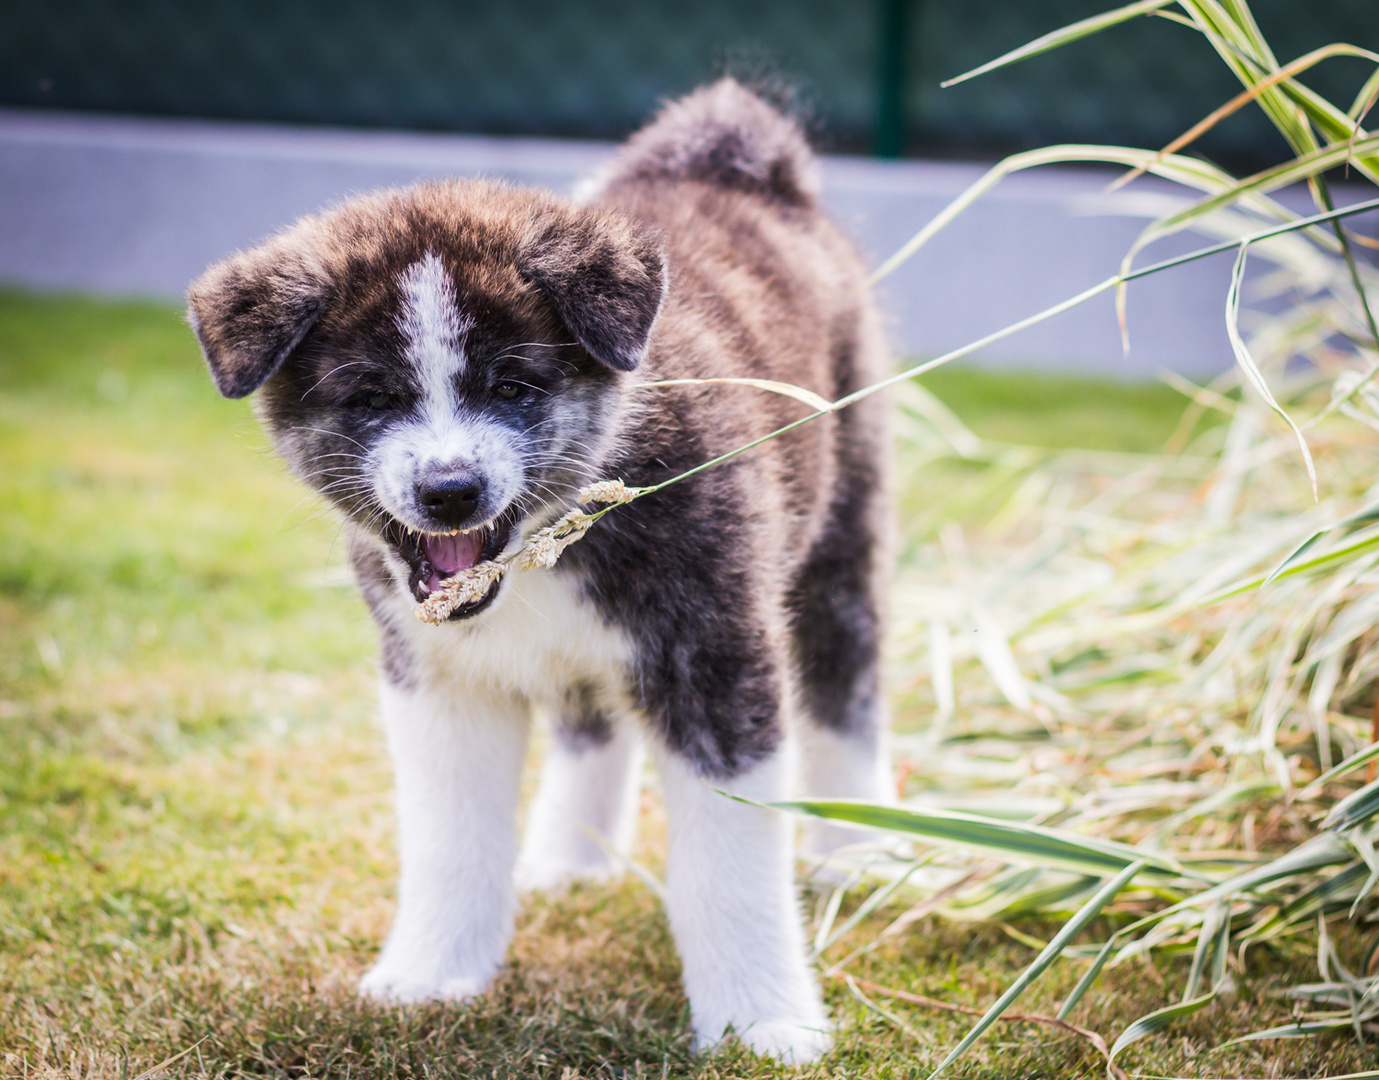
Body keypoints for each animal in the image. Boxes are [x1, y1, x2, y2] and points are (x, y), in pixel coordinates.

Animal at [186, 78, 893, 1064]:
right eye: (372, 397)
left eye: (513, 387)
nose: (449, 490)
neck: (546, 550)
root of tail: (739, 164)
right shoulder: (436, 679)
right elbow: (449, 839)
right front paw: (432, 977)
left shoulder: (714, 657)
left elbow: (730, 861)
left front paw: (761, 1025)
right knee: (590, 718)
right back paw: (570, 862)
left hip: (842, 533)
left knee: (844, 681)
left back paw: (856, 853)